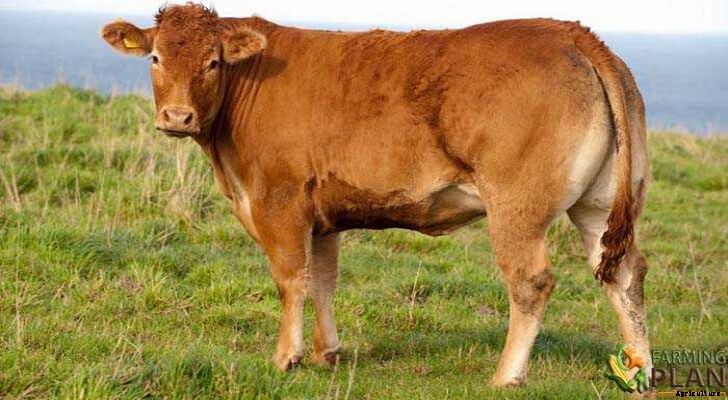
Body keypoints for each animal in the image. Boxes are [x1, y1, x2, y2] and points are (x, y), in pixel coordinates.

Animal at [102, 3, 651, 387]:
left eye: (213, 62)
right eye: (155, 57)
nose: (177, 117)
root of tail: (570, 32)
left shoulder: (279, 201)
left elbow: (290, 280)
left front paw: (286, 357)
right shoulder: (322, 213)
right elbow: (323, 282)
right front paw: (326, 353)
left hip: (517, 206)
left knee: (531, 281)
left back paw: (506, 377)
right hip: (598, 204)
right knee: (625, 273)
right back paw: (640, 370)